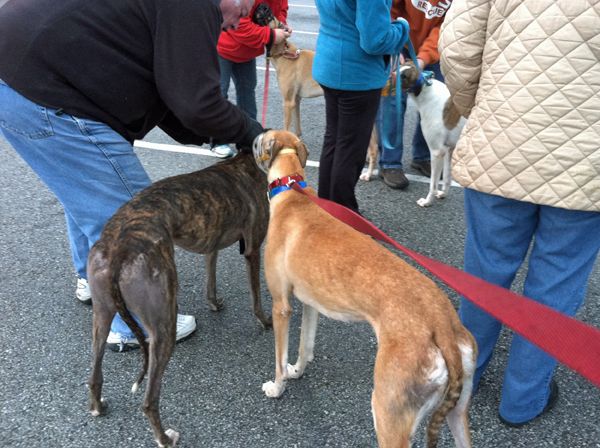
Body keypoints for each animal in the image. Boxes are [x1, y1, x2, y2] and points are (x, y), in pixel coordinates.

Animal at [254, 128, 478, 446]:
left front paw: (277, 386)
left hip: (388, 414)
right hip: (458, 414)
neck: (292, 192)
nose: (250, 138)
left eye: (260, 139)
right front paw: (296, 371)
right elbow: (305, 346)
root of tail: (442, 324)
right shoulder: (311, 304)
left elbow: (279, 358)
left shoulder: (281, 306)